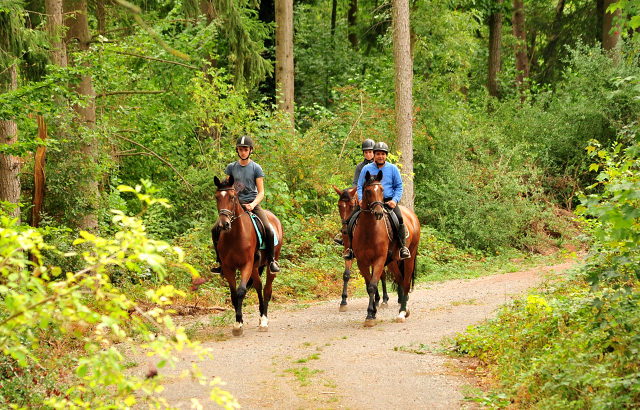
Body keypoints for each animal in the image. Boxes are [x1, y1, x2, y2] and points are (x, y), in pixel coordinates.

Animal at [212, 176, 282, 336]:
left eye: (232, 197)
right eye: (217, 197)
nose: (224, 224)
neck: (234, 236)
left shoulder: (246, 265)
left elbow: (241, 291)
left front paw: (238, 325)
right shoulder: (228, 268)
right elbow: (233, 294)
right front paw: (239, 322)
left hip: (270, 263)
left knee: (267, 289)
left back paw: (264, 321)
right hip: (255, 267)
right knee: (258, 285)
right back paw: (261, 317)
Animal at [350, 170, 420, 326]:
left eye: (382, 190)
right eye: (368, 191)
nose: (378, 213)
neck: (369, 231)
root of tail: (412, 216)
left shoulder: (379, 260)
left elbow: (373, 286)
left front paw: (370, 316)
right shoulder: (362, 262)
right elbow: (369, 285)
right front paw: (372, 313)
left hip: (409, 258)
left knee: (406, 282)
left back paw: (402, 313)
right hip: (393, 262)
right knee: (400, 280)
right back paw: (404, 309)